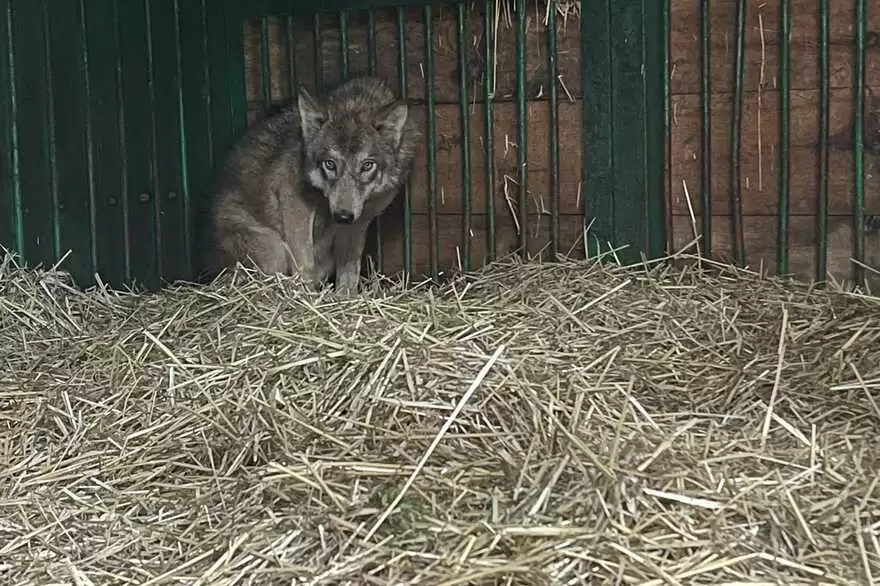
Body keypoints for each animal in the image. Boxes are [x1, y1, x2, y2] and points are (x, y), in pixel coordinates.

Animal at [198, 76, 418, 292]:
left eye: (367, 165)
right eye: (330, 164)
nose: (342, 216)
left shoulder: (359, 222)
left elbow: (350, 272)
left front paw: (344, 298)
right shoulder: (293, 200)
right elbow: (304, 262)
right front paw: (305, 295)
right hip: (273, 248)